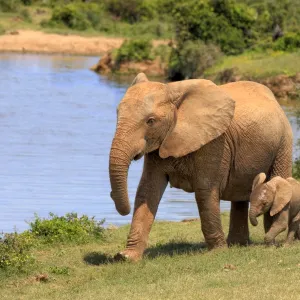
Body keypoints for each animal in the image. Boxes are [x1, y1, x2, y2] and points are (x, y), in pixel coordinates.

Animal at [108, 72, 292, 260]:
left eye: (150, 121)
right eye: (117, 113)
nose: (111, 196)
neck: (172, 91)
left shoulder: (214, 142)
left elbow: (205, 191)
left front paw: (218, 252)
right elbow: (148, 190)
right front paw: (126, 257)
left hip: (283, 143)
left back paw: (269, 244)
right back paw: (237, 245)